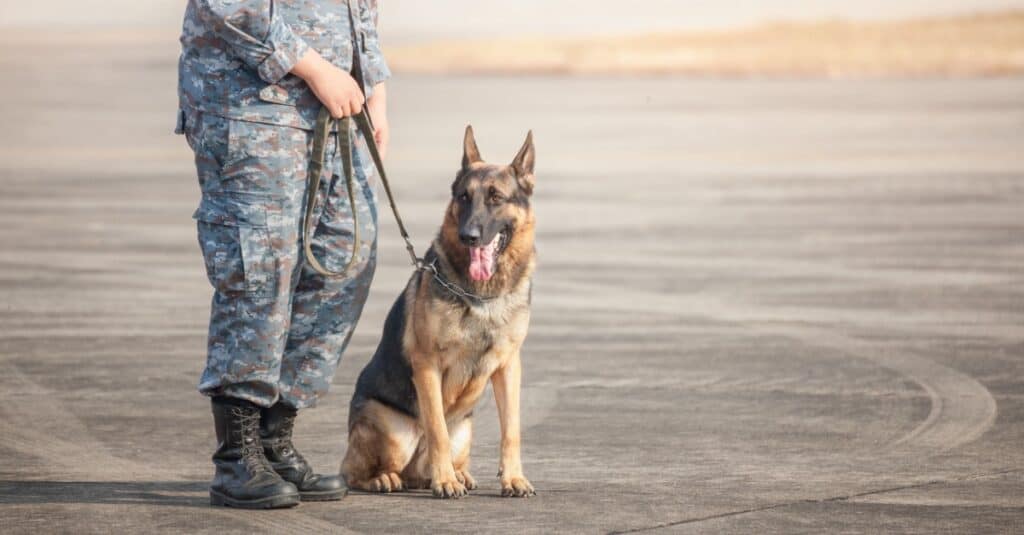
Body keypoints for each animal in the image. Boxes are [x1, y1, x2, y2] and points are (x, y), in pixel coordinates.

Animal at [342, 125, 540, 496]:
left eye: (495, 197)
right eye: (463, 197)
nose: (468, 236)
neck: (482, 296)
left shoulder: (509, 366)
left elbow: (512, 431)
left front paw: (513, 477)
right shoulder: (427, 364)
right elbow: (436, 430)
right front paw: (444, 480)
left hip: (465, 429)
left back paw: (459, 474)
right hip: (393, 430)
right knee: (353, 470)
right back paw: (388, 478)